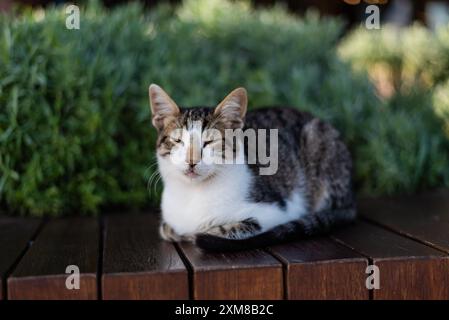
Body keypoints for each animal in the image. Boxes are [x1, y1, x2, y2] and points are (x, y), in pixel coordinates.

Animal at [149, 84, 356, 251]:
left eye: (210, 141)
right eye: (177, 140)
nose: (191, 161)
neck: (193, 193)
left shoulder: (278, 210)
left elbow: (221, 228)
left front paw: (202, 232)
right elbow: (167, 228)